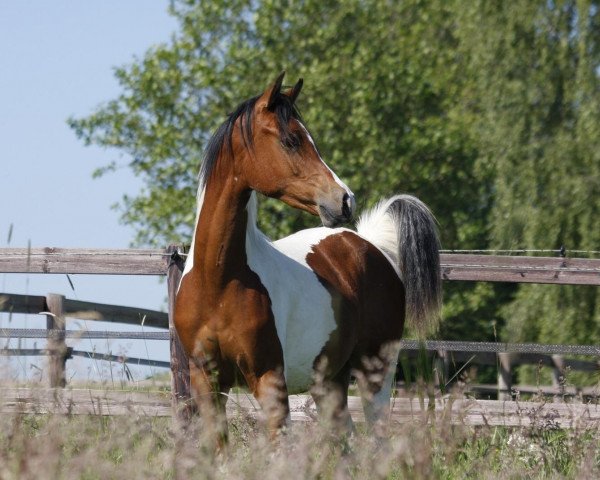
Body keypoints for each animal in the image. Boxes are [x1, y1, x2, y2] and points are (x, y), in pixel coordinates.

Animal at [173, 69, 440, 440]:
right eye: (291, 141)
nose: (344, 200)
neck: (219, 281)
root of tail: (368, 242)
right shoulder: (206, 383)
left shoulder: (269, 380)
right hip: (329, 381)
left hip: (376, 373)